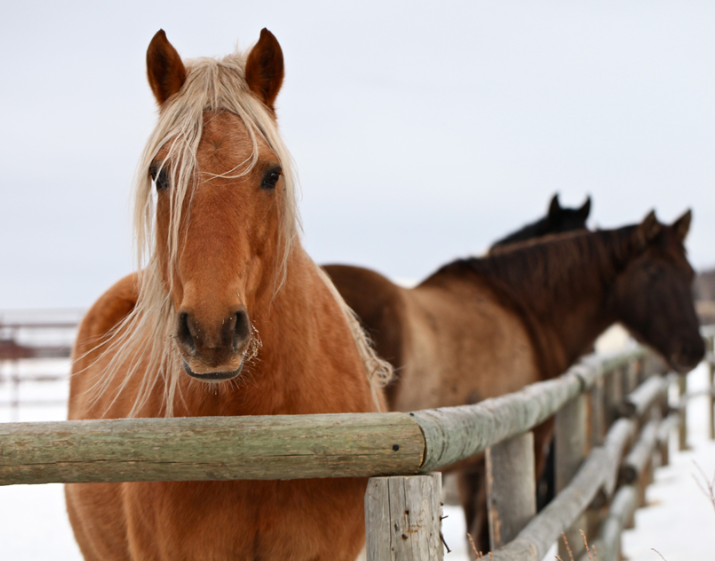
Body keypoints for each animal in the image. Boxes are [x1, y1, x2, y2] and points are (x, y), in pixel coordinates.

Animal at [324, 209, 704, 552]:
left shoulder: (473, 462)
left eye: (689, 273)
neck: (522, 308)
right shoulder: (527, 442)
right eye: (653, 272)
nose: (694, 348)